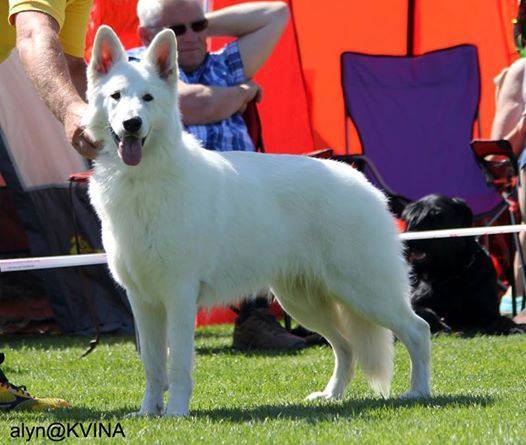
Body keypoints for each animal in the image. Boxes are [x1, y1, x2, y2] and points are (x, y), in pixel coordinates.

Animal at [85, 25, 434, 416]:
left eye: (147, 98)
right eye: (116, 96)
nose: (132, 124)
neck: (141, 180)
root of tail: (364, 184)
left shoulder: (179, 296)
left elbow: (177, 365)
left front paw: (175, 412)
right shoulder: (143, 301)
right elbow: (153, 364)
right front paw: (148, 412)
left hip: (365, 292)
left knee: (417, 331)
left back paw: (419, 392)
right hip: (303, 301)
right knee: (346, 346)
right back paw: (332, 395)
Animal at [402, 193, 524, 334]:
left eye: (437, 215)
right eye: (410, 217)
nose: (409, 238)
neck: (450, 273)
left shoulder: (487, 311)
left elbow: (501, 320)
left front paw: (515, 327)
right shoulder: (417, 302)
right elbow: (423, 311)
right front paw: (440, 325)